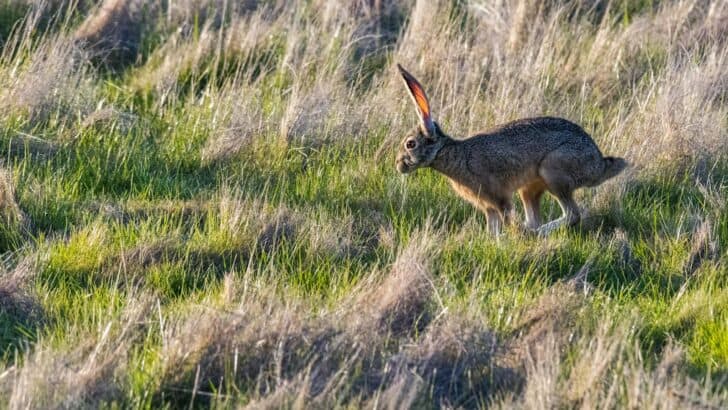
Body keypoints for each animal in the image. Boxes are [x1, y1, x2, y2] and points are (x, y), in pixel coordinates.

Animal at [394, 64, 627, 236]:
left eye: (410, 144)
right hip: (530, 187)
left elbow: (505, 218)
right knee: (535, 217)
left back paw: (535, 234)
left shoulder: (498, 198)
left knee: (572, 215)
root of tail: (598, 164)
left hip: (555, 172)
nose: (398, 165)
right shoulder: (488, 207)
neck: (454, 154)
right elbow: (493, 229)